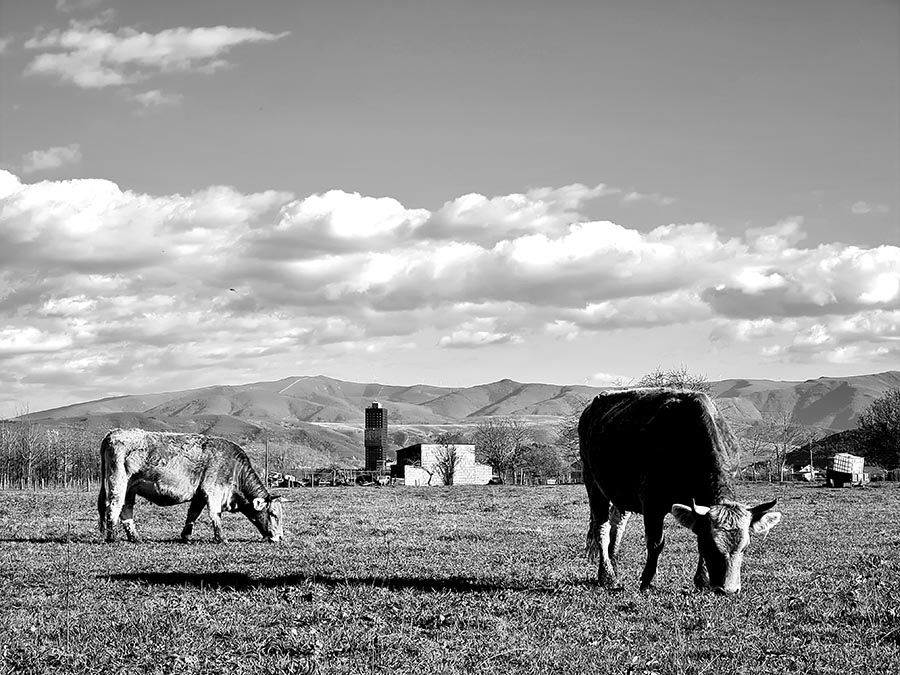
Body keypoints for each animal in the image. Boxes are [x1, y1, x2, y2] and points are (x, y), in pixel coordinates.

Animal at [98, 434, 284, 544]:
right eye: (273, 514)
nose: (280, 536)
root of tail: (114, 434)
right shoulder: (213, 491)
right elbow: (215, 515)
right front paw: (221, 538)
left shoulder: (199, 495)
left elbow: (193, 514)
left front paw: (185, 536)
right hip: (118, 483)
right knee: (113, 508)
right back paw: (112, 537)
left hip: (129, 489)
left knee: (126, 510)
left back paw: (135, 537)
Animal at [576, 388, 780, 596]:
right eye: (711, 545)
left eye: (745, 547)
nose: (728, 590)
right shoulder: (652, 503)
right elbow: (656, 543)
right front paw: (648, 581)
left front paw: (702, 580)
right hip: (592, 483)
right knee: (602, 528)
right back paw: (607, 576)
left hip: (620, 493)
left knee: (617, 525)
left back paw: (613, 567)